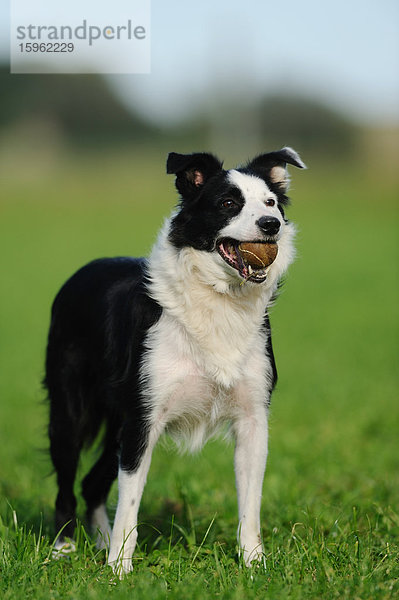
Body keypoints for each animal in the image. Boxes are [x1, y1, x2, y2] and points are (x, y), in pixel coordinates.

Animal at [44, 148, 306, 576]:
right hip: (71, 411)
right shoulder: (144, 420)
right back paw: (63, 547)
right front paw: (119, 570)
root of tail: (82, 271)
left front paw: (254, 564)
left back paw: (97, 542)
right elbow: (130, 505)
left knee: (92, 484)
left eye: (271, 202)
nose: (271, 225)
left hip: (117, 424)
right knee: (68, 482)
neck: (219, 299)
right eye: (228, 203)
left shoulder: (252, 419)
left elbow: (250, 503)